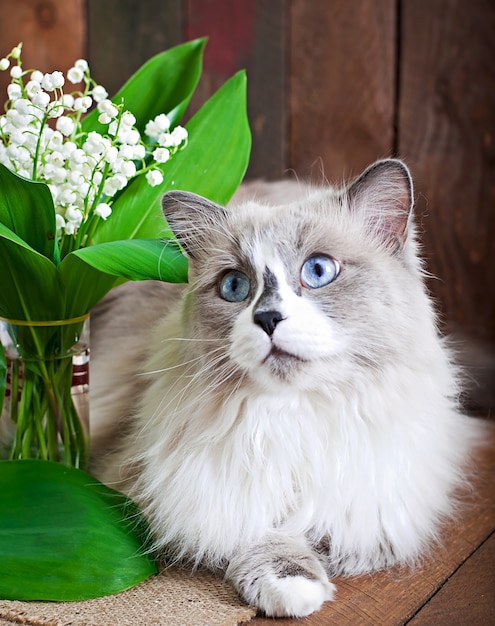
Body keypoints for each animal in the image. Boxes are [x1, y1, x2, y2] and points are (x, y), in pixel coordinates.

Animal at [89, 158, 480, 616]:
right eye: (235, 286)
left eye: (318, 271)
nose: (268, 318)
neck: (294, 414)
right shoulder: (167, 487)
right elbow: (255, 531)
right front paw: (293, 585)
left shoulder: (377, 502)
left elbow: (330, 532)